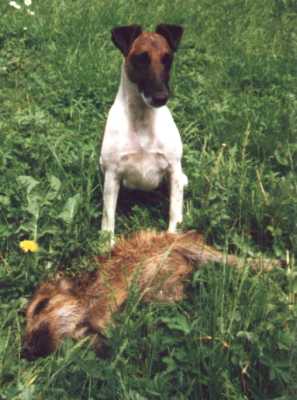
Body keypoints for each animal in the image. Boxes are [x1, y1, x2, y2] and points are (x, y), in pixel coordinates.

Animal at [100, 25, 186, 244]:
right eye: (141, 58)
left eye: (167, 58)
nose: (161, 97)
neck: (142, 120)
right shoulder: (112, 174)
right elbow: (108, 219)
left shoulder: (173, 169)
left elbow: (174, 212)